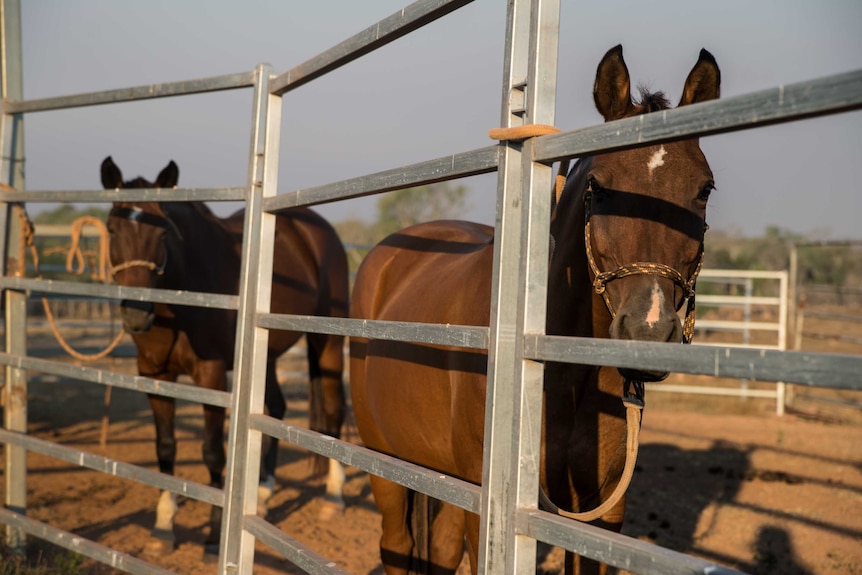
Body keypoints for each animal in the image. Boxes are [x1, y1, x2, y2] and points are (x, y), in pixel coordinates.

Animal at [104, 158, 352, 560]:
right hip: (267, 354)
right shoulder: (154, 375)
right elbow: (165, 448)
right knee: (275, 408)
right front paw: (162, 528)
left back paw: (333, 497)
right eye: (112, 229)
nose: (136, 315)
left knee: (332, 411)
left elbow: (212, 453)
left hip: (326, 341)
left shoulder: (212, 375)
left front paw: (212, 536)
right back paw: (263, 492)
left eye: (162, 235)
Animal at [352, 46, 724, 575]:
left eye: (704, 189)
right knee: (397, 545)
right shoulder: (485, 507)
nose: (648, 330)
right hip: (384, 461)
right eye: (599, 186)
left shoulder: (602, 515)